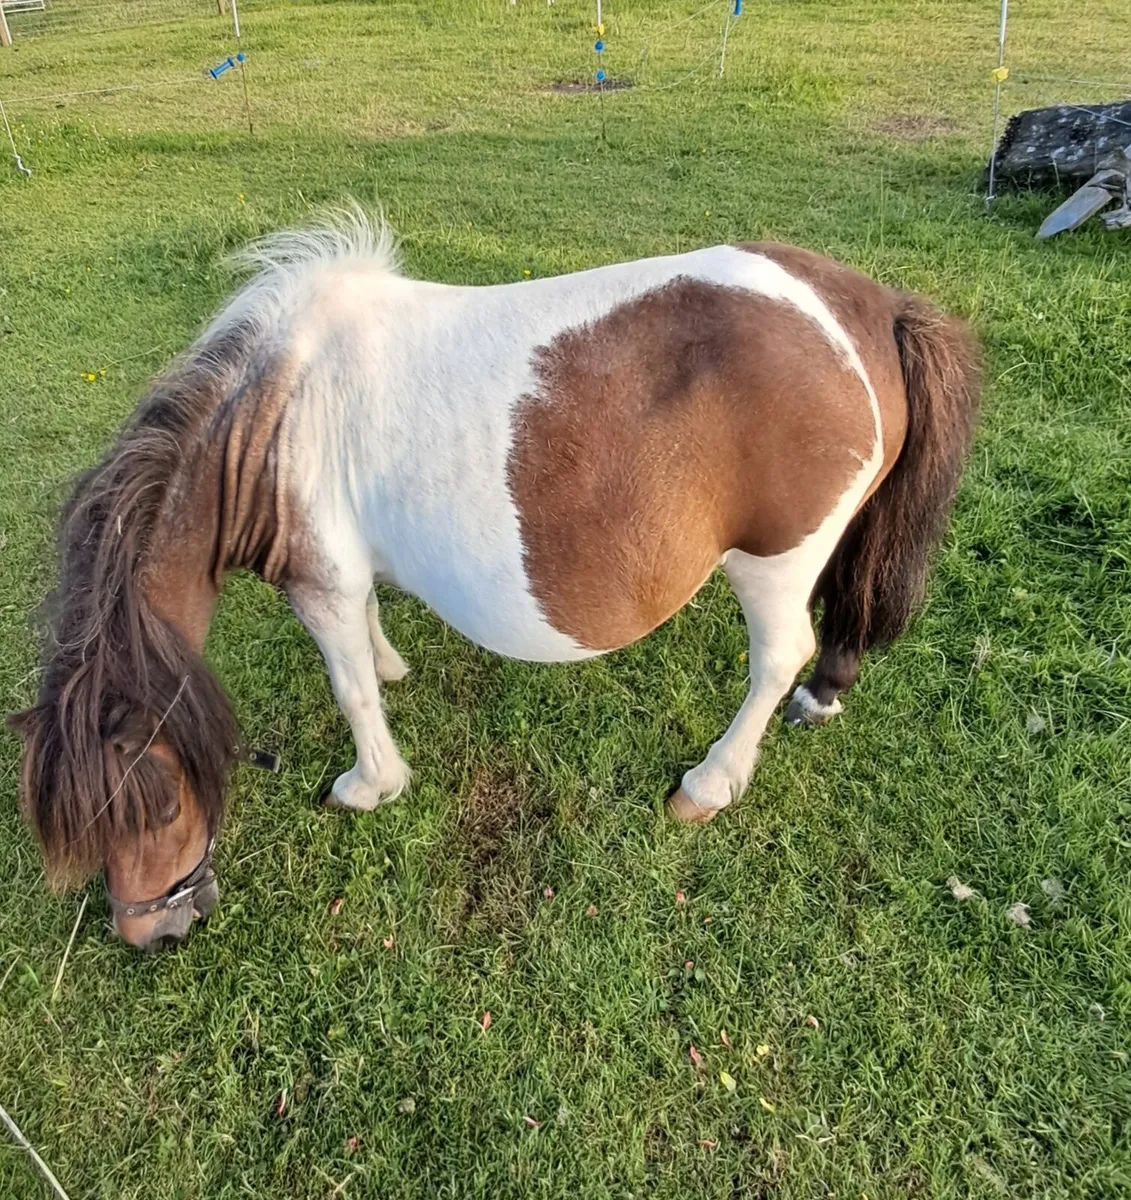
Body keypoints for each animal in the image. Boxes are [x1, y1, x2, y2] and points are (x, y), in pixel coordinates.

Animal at [7, 214, 979, 951]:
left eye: (155, 804)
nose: (148, 934)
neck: (271, 417)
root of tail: (873, 307)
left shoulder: (317, 582)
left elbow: (350, 689)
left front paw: (370, 782)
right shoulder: (344, 573)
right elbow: (370, 639)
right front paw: (390, 664)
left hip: (772, 565)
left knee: (777, 657)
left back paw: (710, 782)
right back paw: (824, 694)